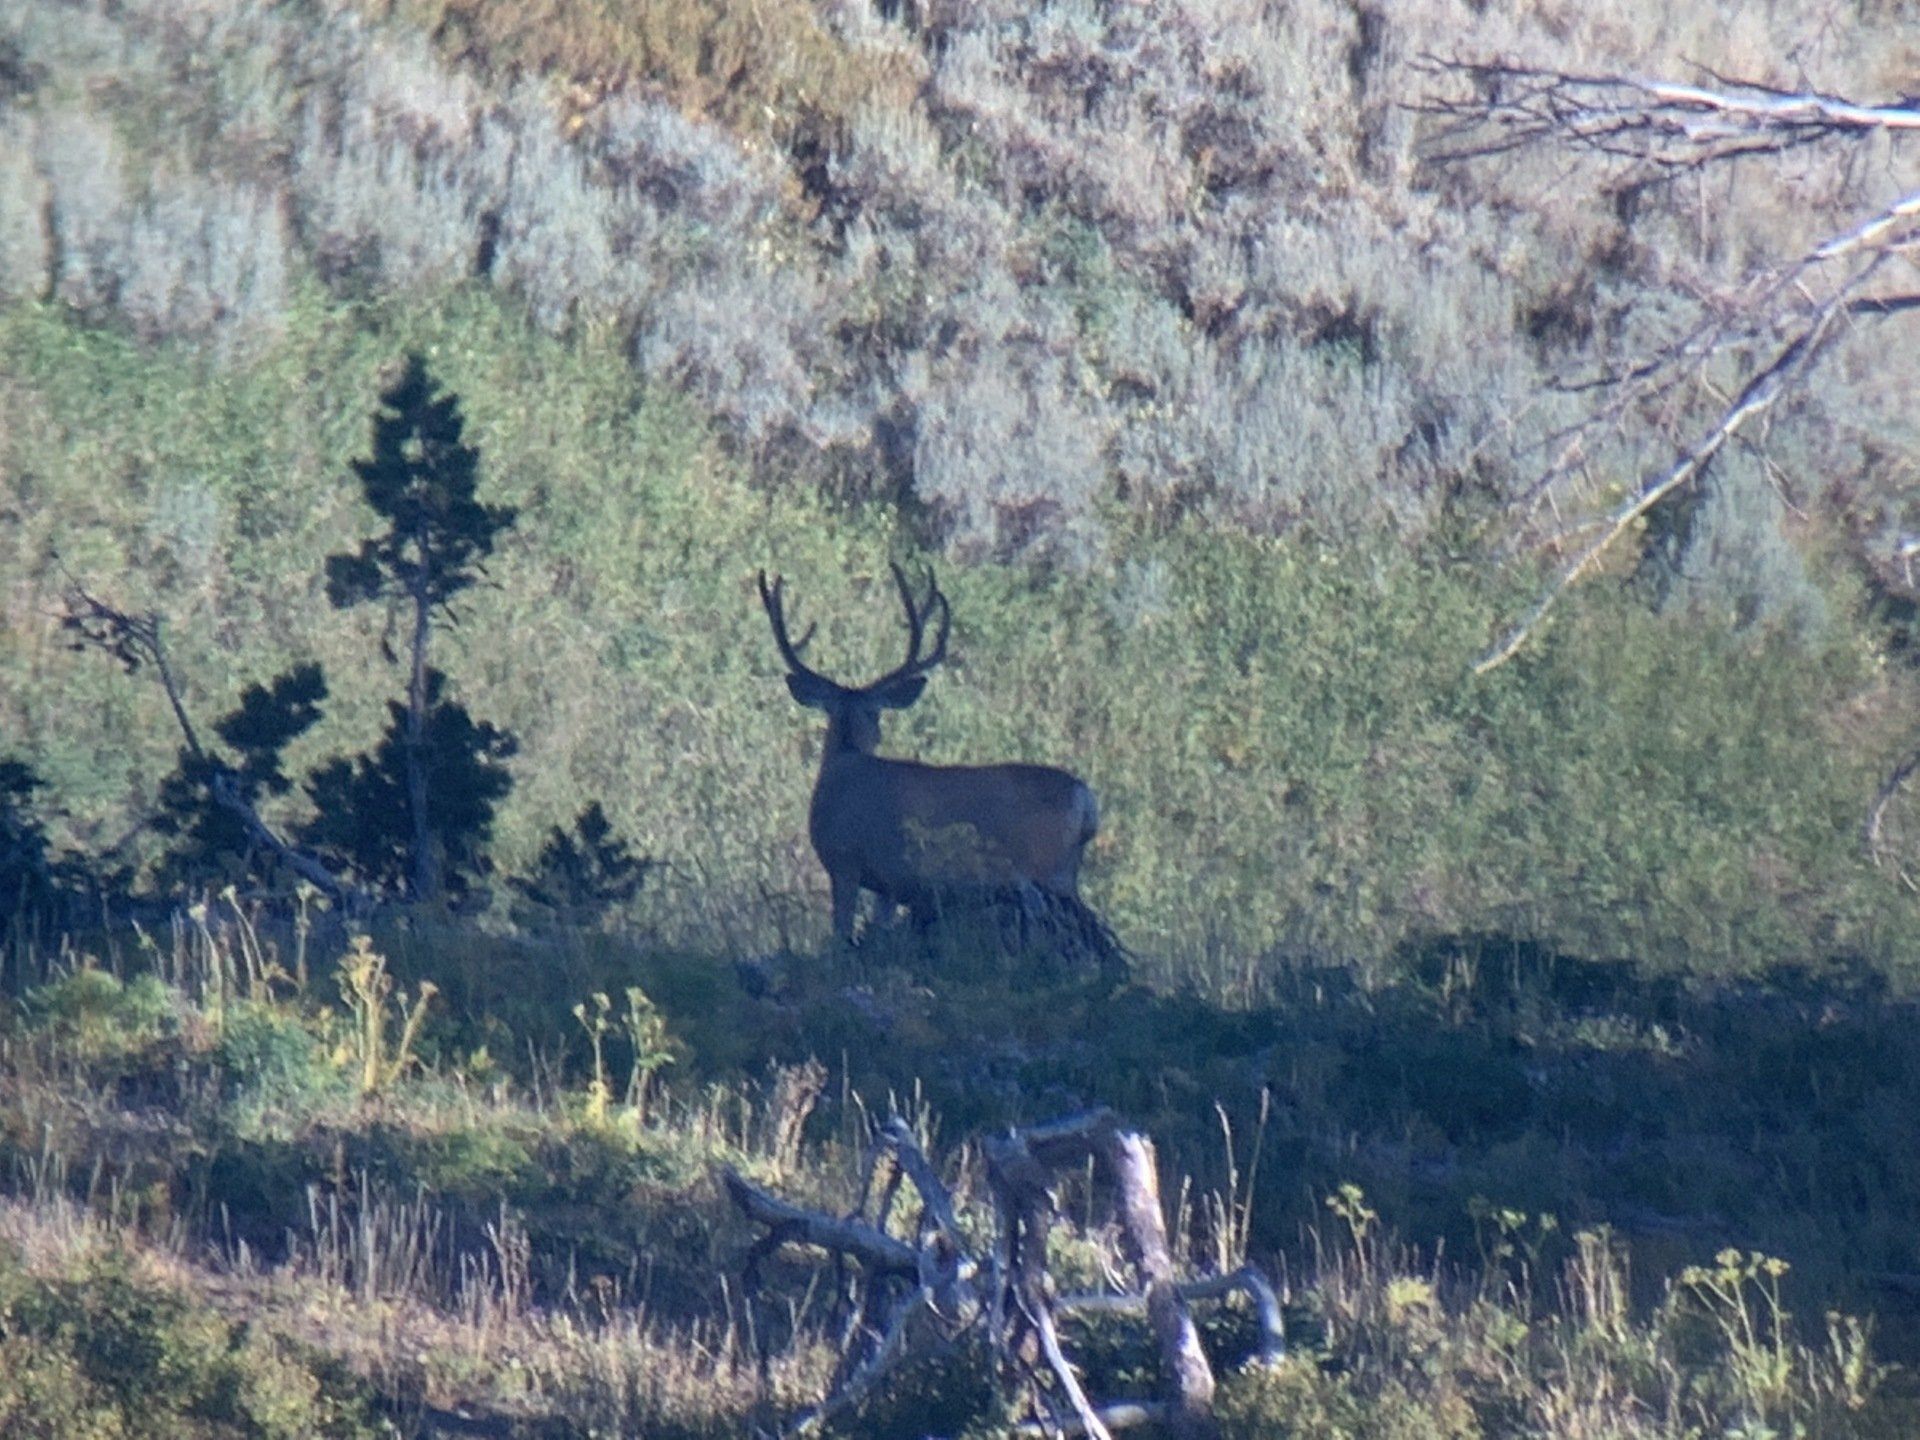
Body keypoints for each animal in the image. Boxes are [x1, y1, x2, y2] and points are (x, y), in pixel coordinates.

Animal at [758, 564, 1107, 953]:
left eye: (877, 713)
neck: (844, 761)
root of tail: (1085, 798)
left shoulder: (845, 862)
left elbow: (841, 934)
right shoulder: (890, 883)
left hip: (1042, 868)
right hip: (1064, 873)